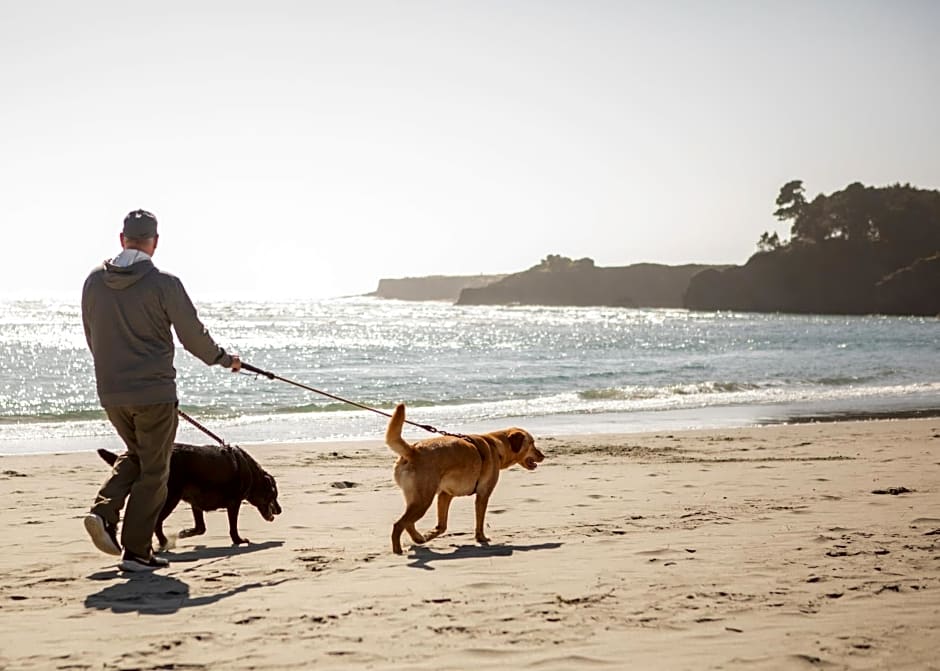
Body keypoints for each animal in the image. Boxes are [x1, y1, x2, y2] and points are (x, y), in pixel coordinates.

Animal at [100, 440, 282, 552]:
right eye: (274, 495)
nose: (280, 510)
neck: (251, 472)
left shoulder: (196, 502)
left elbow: (201, 527)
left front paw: (185, 533)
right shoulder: (234, 502)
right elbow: (232, 527)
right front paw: (238, 540)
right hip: (171, 497)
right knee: (156, 521)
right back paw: (163, 542)